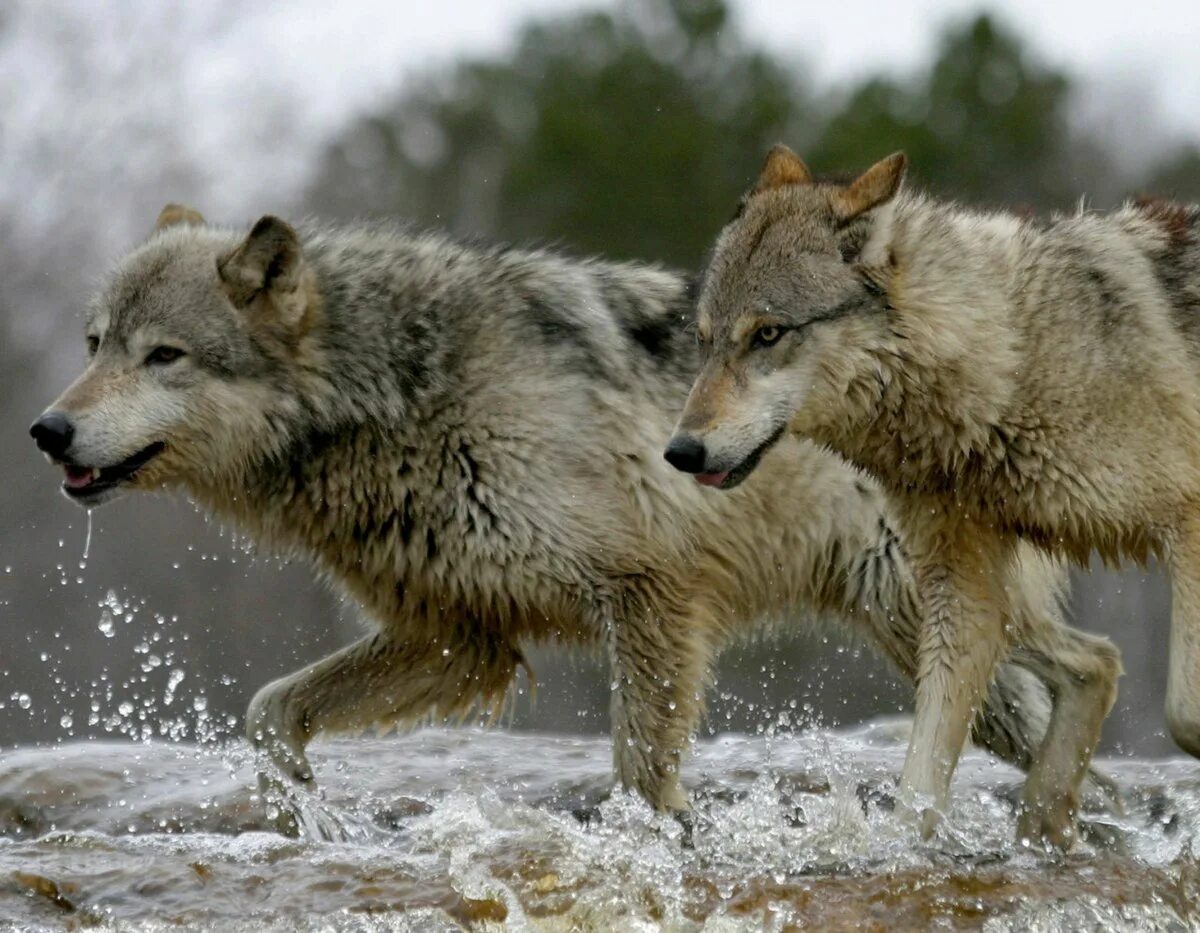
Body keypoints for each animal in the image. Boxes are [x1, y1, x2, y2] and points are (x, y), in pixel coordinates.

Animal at [35, 203, 1104, 829]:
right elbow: (267, 710)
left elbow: (639, 778)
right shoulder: (458, 634)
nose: (48, 430)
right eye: (94, 344)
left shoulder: (648, 599)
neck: (402, 392)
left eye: (163, 355)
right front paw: (304, 811)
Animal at [672, 147, 1195, 844]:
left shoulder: (1186, 519)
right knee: (1098, 665)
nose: (680, 451)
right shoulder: (962, 591)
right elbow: (918, 783)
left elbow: (1185, 713)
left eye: (767, 334)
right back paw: (1044, 820)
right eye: (704, 341)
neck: (1009, 361)